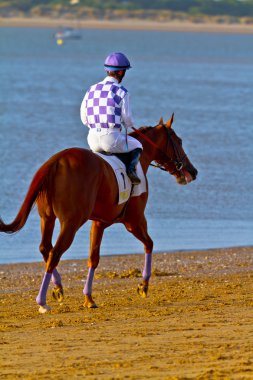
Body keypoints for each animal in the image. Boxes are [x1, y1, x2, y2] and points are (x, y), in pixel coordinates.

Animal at [0, 114, 198, 314]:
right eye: (179, 141)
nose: (193, 171)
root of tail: (56, 160)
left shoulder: (99, 223)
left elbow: (93, 258)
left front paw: (88, 298)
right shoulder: (134, 220)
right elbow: (149, 244)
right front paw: (144, 284)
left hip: (47, 218)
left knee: (44, 248)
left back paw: (58, 287)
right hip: (71, 222)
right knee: (54, 253)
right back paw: (42, 301)